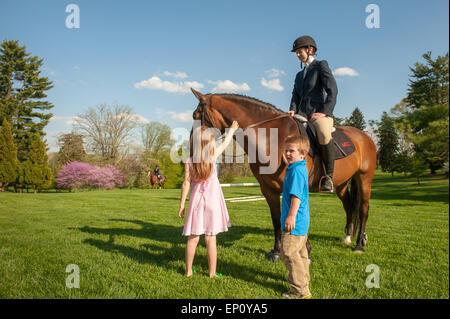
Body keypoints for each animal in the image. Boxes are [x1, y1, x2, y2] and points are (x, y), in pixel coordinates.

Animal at [190, 88, 376, 260]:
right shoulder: (268, 190)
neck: (272, 140)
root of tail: (365, 136)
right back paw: (347, 237)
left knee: (364, 209)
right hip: (341, 184)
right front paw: (276, 252)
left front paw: (305, 250)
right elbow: (276, 218)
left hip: (364, 178)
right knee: (349, 205)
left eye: (196, 115)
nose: (192, 146)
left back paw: (359, 244)